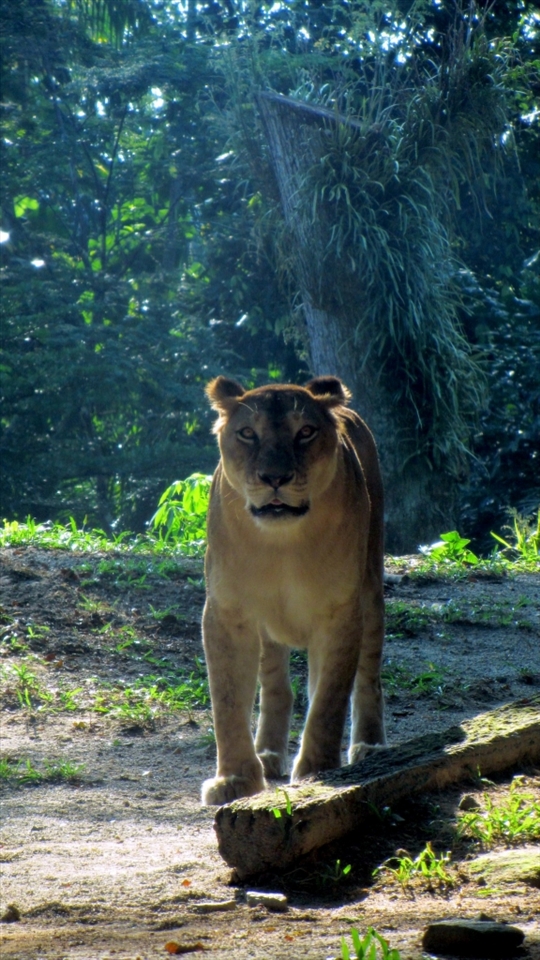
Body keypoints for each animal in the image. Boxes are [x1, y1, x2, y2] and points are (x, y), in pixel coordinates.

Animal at [201, 375, 386, 805]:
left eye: (305, 432)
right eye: (247, 433)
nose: (275, 478)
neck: (281, 545)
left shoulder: (340, 612)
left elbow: (329, 699)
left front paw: (317, 769)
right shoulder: (227, 613)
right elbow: (227, 702)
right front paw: (234, 779)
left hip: (371, 592)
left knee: (367, 676)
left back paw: (369, 747)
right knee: (275, 687)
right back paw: (268, 754)